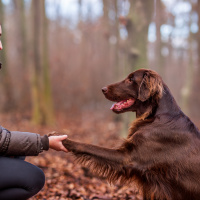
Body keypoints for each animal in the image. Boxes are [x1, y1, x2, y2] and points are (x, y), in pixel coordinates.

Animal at [62, 69, 200, 200]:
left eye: (131, 79)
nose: (103, 89)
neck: (155, 115)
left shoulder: (126, 157)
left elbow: (88, 146)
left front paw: (64, 140)